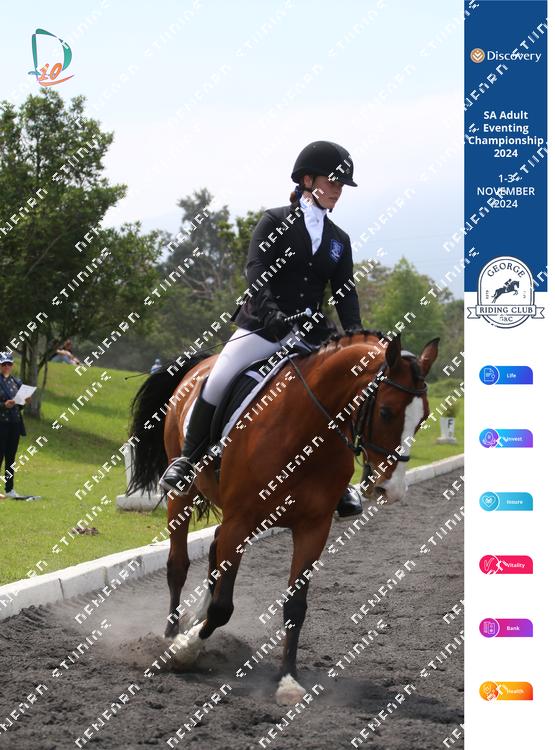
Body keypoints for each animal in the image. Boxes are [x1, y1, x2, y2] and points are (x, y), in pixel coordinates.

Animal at [128, 330, 439, 704]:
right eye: (386, 411)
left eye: (422, 417)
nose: (391, 489)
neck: (306, 430)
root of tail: (199, 365)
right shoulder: (240, 520)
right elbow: (223, 608)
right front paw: (185, 649)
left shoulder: (313, 528)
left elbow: (295, 607)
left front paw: (288, 680)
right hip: (183, 496)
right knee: (178, 565)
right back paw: (171, 635)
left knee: (215, 549)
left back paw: (193, 618)